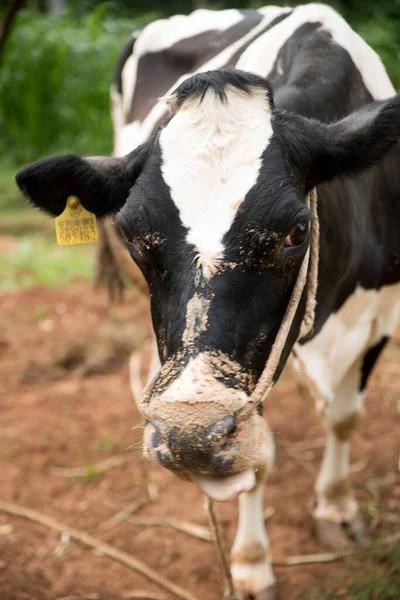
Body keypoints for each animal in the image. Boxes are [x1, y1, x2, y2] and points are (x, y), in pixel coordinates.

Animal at [14, 4, 400, 600]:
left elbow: (344, 418)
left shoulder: (382, 316)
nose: (188, 432)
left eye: (297, 231)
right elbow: (259, 457)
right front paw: (251, 562)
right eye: (131, 234)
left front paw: (336, 507)